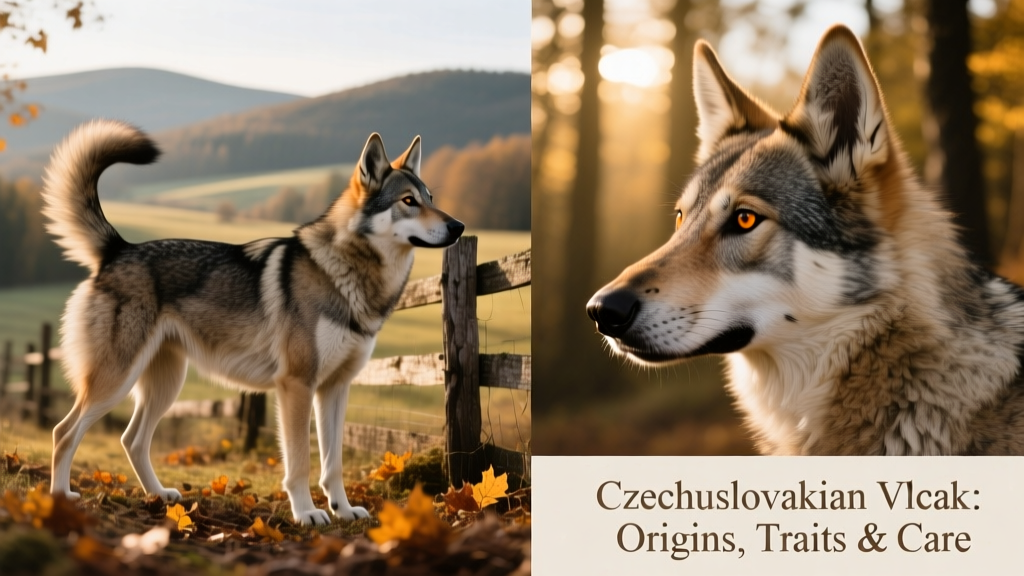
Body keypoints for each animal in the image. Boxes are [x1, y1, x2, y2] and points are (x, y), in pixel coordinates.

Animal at [43, 120, 463, 524]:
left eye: (430, 198)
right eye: (408, 201)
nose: (458, 226)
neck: (348, 274)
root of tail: (118, 248)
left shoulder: (335, 389)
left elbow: (334, 466)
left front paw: (343, 511)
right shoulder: (296, 385)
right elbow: (300, 463)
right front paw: (307, 514)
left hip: (165, 385)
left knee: (131, 440)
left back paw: (158, 496)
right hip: (115, 382)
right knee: (64, 432)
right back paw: (61, 498)